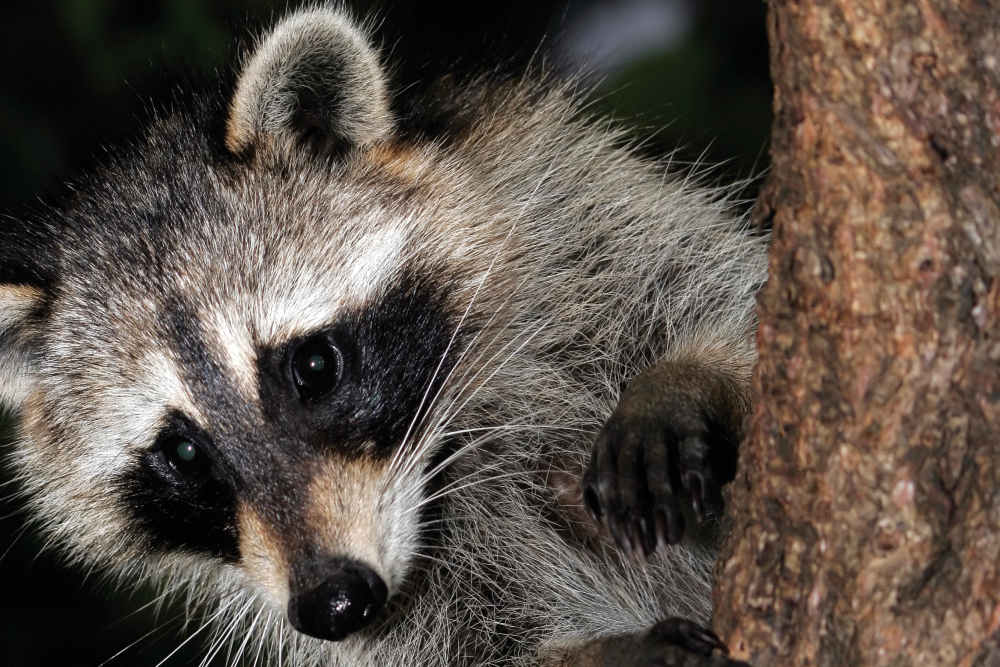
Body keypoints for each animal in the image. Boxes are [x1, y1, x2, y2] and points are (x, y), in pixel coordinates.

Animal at [0, 5, 765, 667]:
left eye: (314, 365)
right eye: (183, 452)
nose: (334, 603)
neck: (449, 452)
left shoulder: (577, 210)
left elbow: (727, 293)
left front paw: (677, 383)